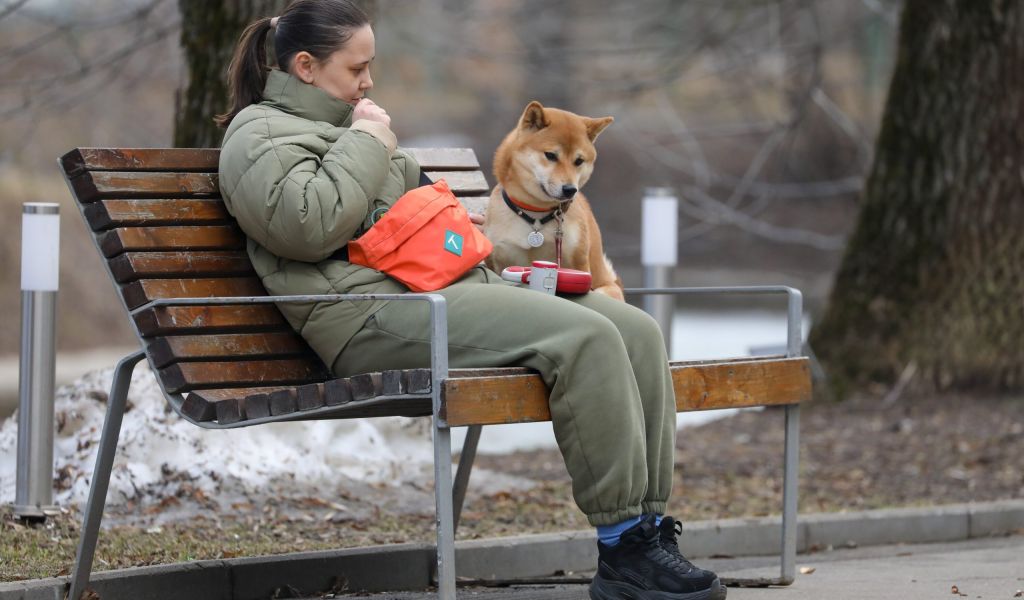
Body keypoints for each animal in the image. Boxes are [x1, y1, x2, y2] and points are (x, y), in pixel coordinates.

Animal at [481, 101, 622, 303]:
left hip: (606, 289)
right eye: (551, 155)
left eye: (579, 161)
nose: (570, 189)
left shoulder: (578, 261)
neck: (535, 214)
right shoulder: (498, 259)